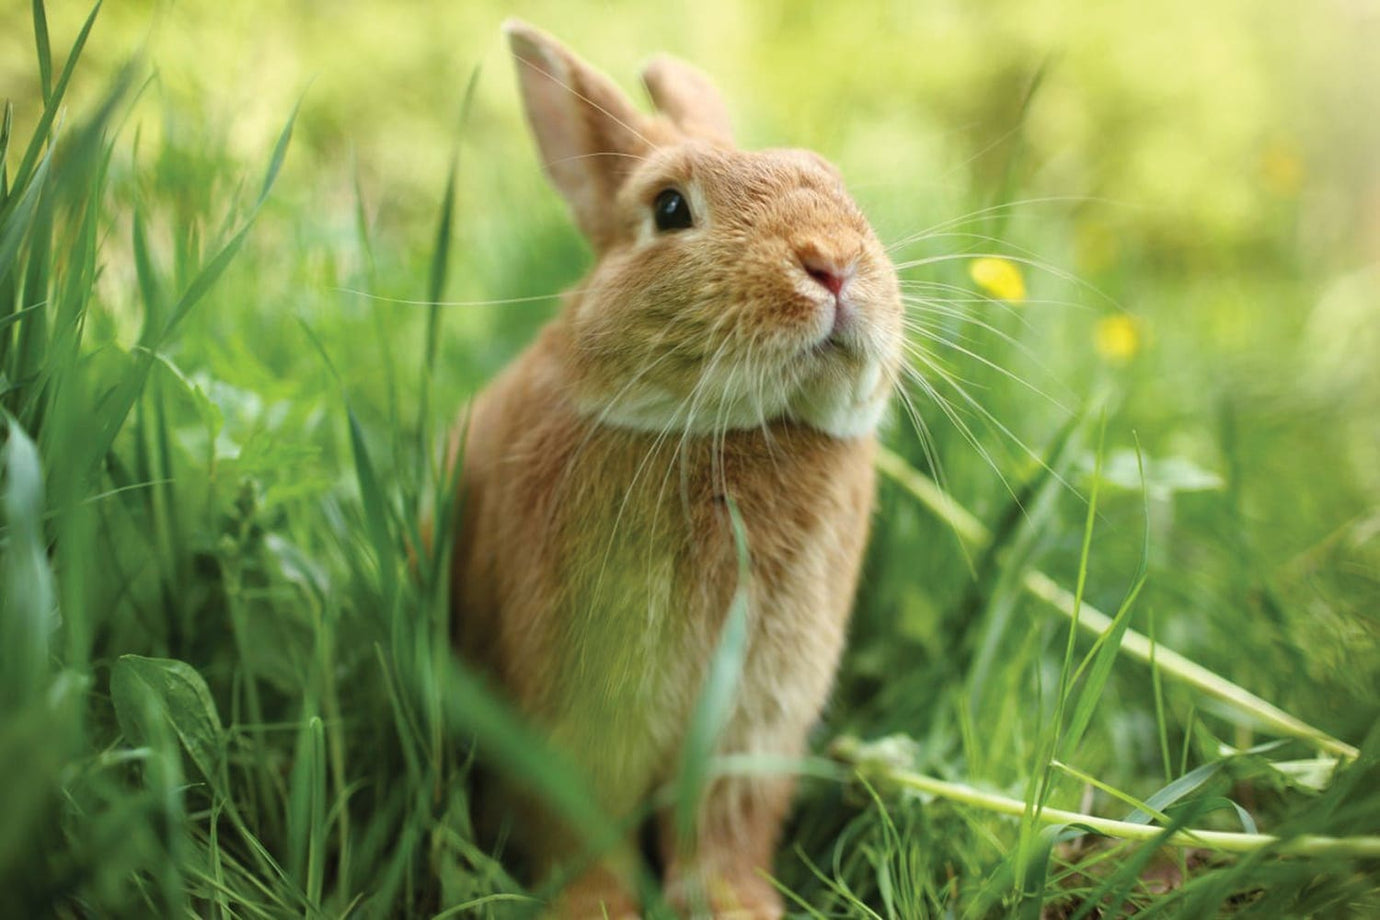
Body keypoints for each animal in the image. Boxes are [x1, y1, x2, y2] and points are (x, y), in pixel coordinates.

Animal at [452, 21, 905, 920]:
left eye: (837, 185)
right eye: (668, 208)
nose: (833, 263)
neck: (732, 433)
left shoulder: (755, 726)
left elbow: (724, 829)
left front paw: (739, 906)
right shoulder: (573, 715)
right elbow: (578, 826)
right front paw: (594, 910)